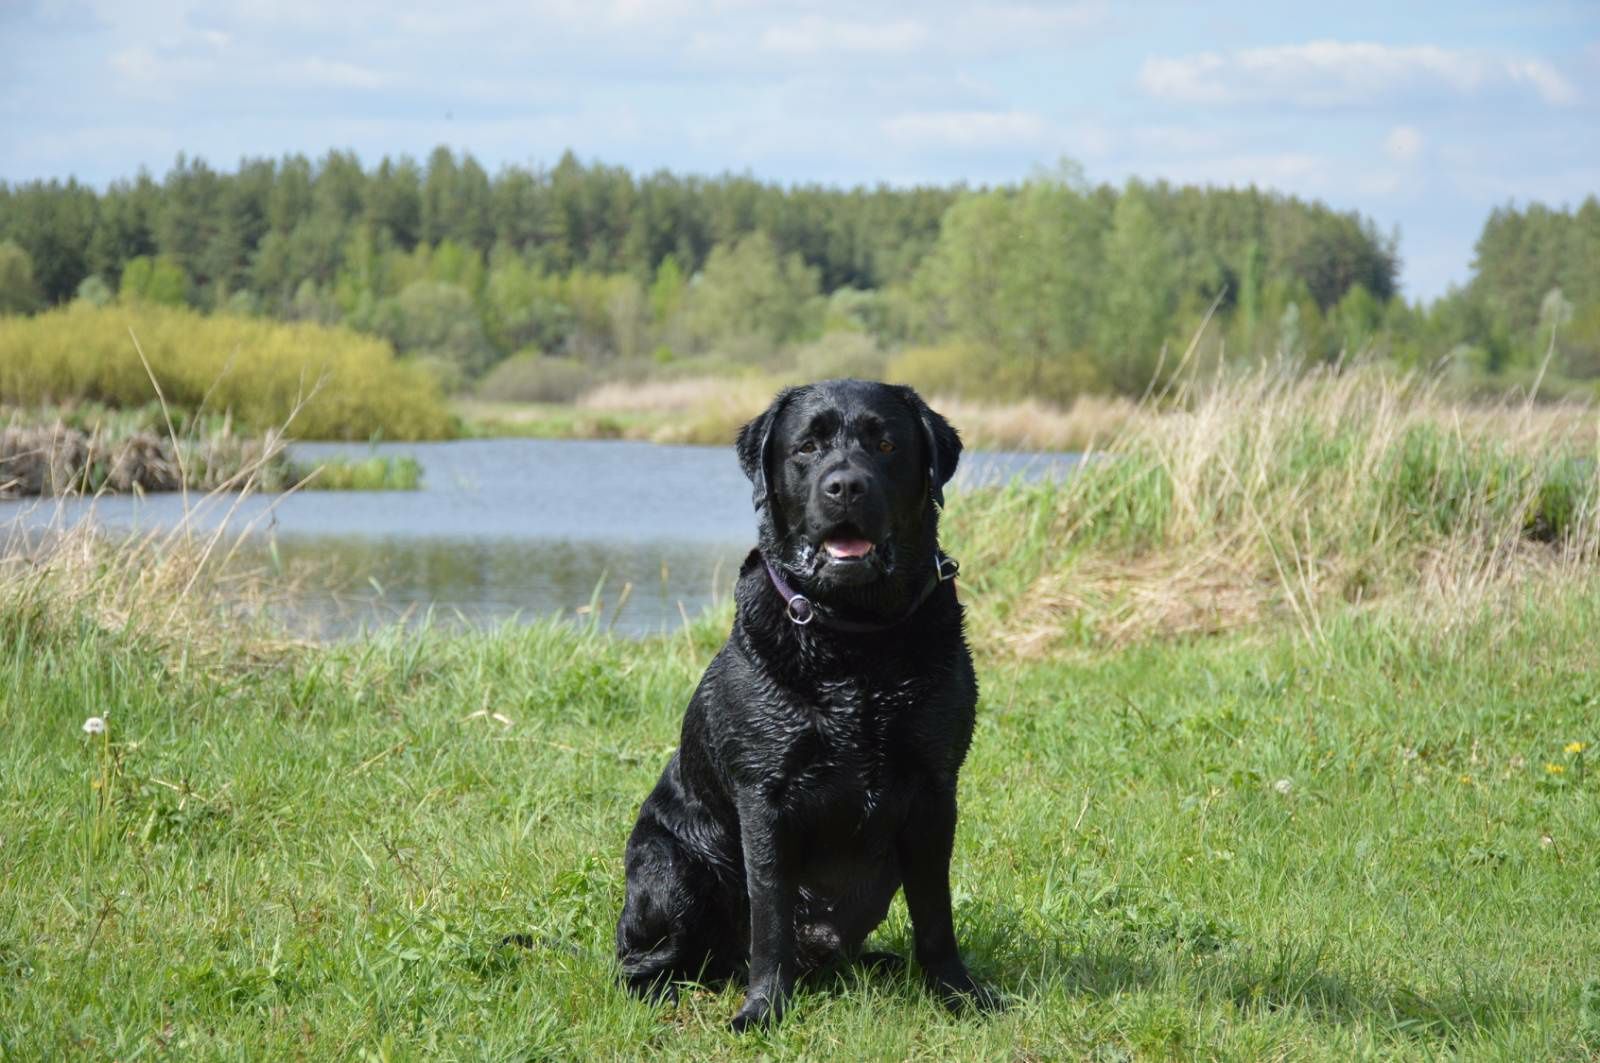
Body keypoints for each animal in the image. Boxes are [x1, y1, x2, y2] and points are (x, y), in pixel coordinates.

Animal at [614, 376, 998, 1030]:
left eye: (886, 444)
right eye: (807, 448)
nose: (845, 485)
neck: (855, 640)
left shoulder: (934, 789)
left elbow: (936, 914)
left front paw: (956, 992)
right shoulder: (765, 796)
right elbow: (770, 918)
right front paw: (764, 1009)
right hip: (671, 867)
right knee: (643, 961)